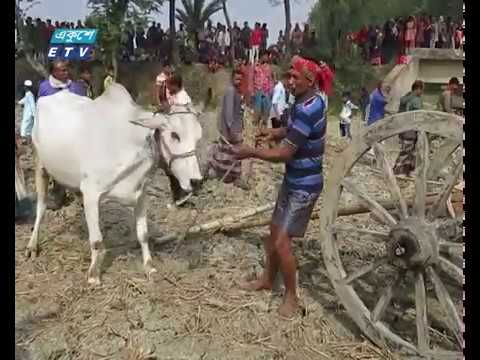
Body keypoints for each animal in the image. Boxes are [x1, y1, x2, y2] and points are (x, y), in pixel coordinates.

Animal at [26, 83, 202, 284]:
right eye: (174, 135)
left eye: (199, 138)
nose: (196, 182)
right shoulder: (91, 192)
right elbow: (96, 240)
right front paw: (93, 275)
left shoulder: (141, 194)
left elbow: (143, 235)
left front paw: (149, 267)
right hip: (40, 165)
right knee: (41, 207)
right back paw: (32, 245)